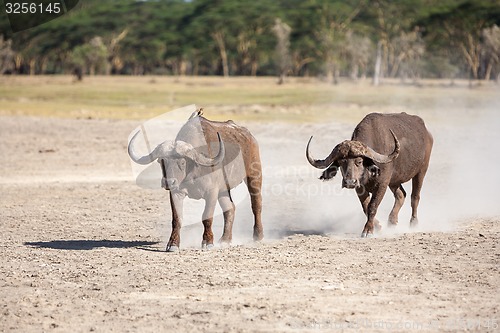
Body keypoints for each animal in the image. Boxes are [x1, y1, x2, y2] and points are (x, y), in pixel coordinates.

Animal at [127, 110, 264, 250]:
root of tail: (249, 137)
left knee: (256, 204)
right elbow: (177, 218)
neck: (193, 170)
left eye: (182, 162)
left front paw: (208, 242)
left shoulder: (212, 192)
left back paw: (258, 236)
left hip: (254, 176)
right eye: (161, 161)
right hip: (224, 189)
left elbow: (206, 217)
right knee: (230, 208)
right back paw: (225, 239)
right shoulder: (176, 193)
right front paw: (173, 244)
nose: (169, 182)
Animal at [304, 113, 434, 237]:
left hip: (421, 171)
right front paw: (378, 226)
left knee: (415, 197)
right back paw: (392, 222)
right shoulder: (360, 187)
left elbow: (372, 206)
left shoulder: (382, 184)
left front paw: (368, 230)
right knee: (401, 195)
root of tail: (426, 132)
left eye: (359, 161)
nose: (349, 182)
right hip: (394, 181)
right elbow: (365, 207)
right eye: (341, 162)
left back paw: (413, 224)